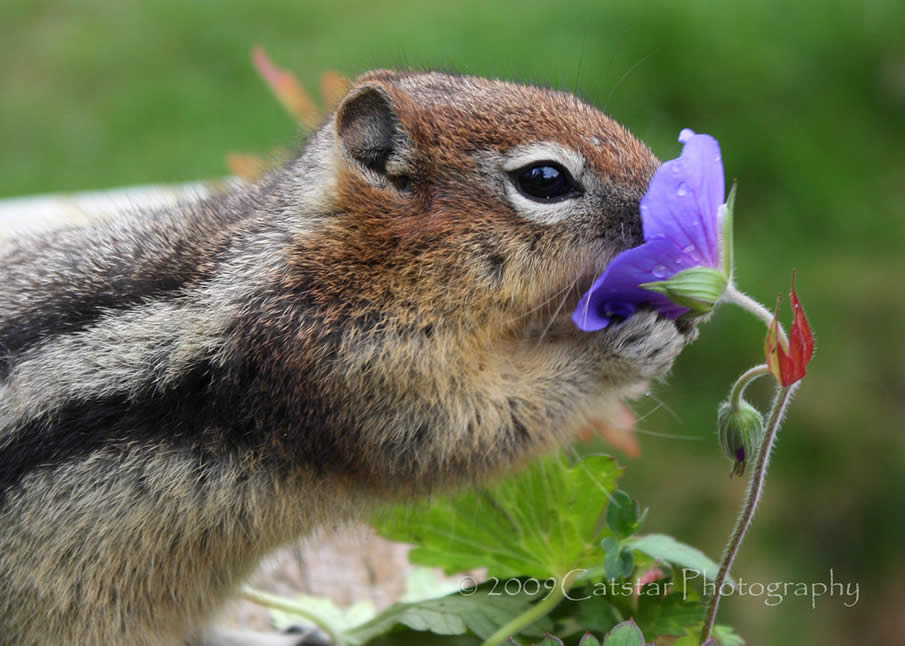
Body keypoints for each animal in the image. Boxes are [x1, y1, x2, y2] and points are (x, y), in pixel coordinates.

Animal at [0, 68, 692, 644]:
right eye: (544, 180)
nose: (674, 198)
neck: (346, 258)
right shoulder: (352, 368)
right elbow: (471, 432)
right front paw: (623, 347)